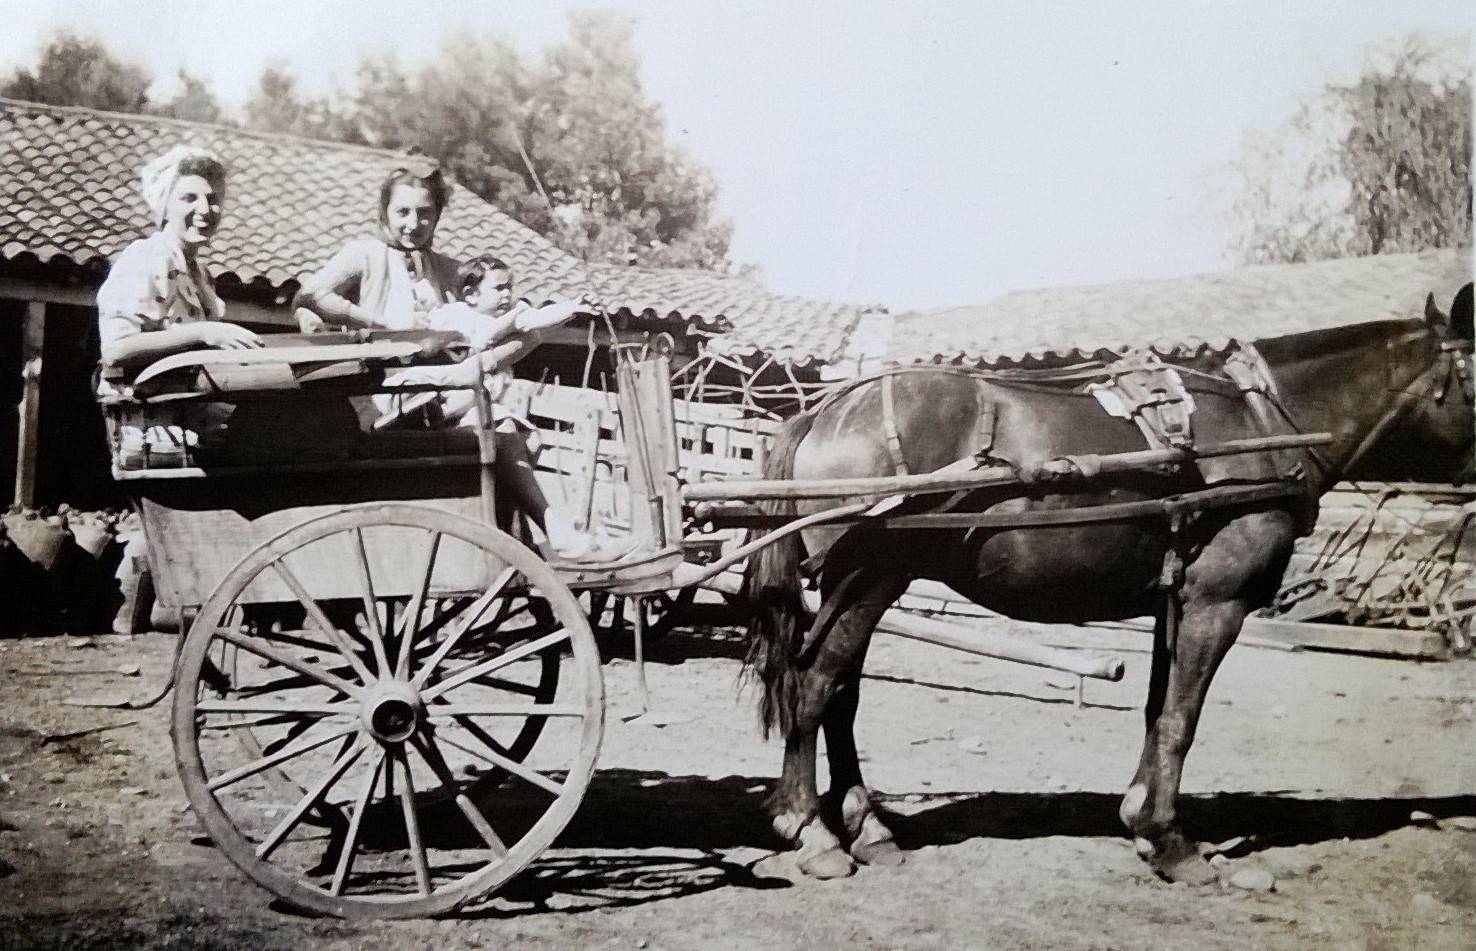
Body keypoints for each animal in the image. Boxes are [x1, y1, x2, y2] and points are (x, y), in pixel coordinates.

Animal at [741, 287, 1473, 884]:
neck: (1263, 427)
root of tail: (826, 410)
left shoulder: (1173, 601)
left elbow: (1156, 711)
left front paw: (1141, 819)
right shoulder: (1217, 604)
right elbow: (1181, 720)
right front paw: (1171, 843)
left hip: (859, 587)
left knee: (839, 693)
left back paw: (867, 827)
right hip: (867, 579)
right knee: (815, 684)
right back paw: (812, 830)